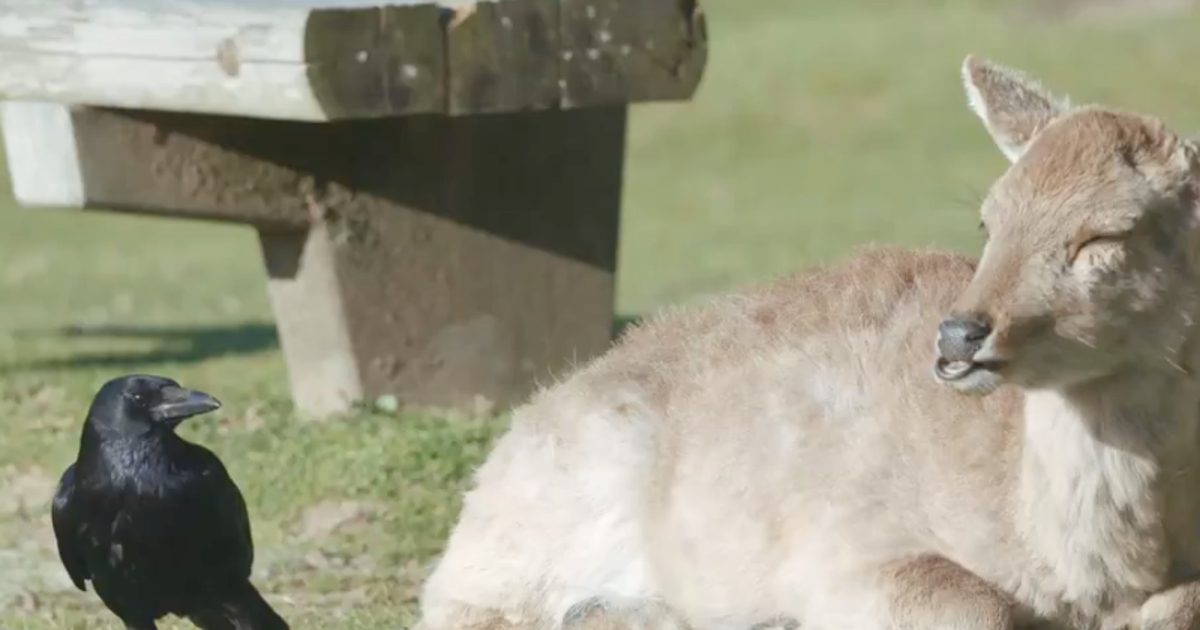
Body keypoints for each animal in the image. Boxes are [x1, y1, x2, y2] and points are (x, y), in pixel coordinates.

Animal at [411, 56, 1200, 630]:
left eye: (1103, 236)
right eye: (988, 218)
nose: (958, 335)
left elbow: (1180, 605)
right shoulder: (840, 547)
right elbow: (973, 604)